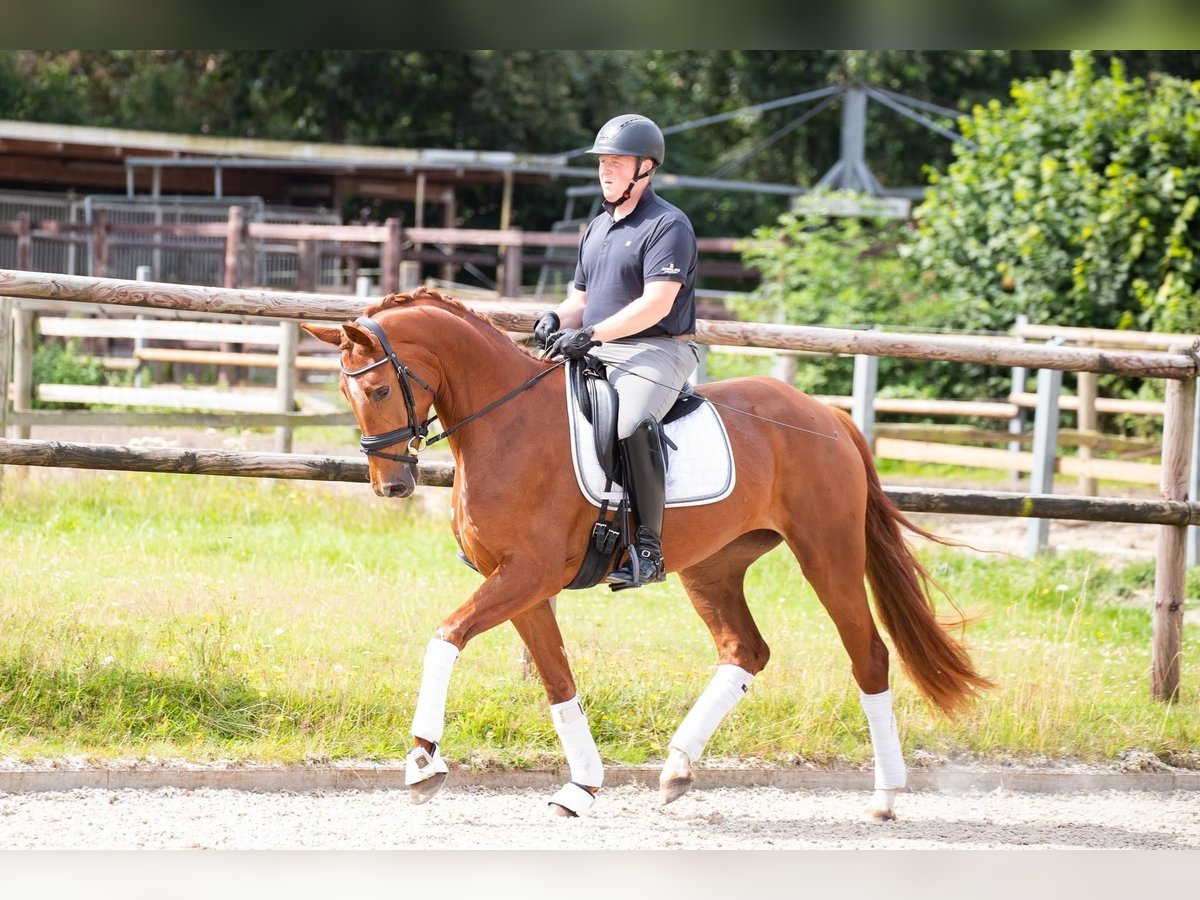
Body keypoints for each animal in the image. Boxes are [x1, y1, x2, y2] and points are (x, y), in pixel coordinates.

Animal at [302, 290, 993, 825]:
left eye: (380, 387)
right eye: (343, 388)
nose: (392, 486)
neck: (508, 425)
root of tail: (828, 416)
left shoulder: (529, 574)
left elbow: (446, 636)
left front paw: (423, 760)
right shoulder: (518, 583)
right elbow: (557, 680)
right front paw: (581, 788)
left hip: (827, 555)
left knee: (868, 654)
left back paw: (885, 798)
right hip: (713, 568)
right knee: (745, 650)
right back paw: (677, 770)